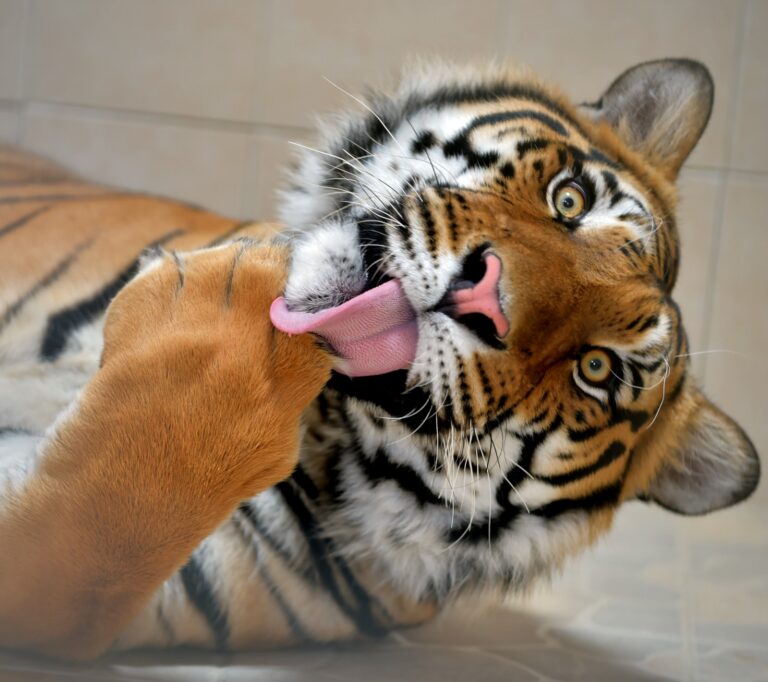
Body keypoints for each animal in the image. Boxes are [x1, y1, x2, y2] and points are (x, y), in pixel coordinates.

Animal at [0, 58, 759, 659]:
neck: (326, 423)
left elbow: (103, 536)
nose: (481, 296)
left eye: (596, 370)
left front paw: (229, 332)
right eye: (570, 200)